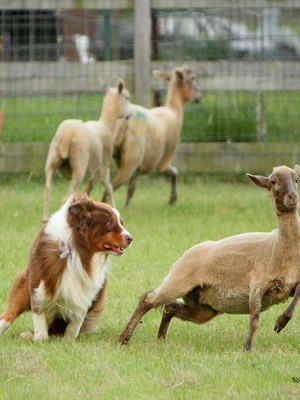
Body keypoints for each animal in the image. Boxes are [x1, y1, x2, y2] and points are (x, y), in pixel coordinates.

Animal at [0, 194, 132, 340]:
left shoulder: (89, 289)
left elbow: (76, 319)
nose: (130, 238)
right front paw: (40, 338)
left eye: (121, 223)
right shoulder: (37, 278)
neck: (77, 250)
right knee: (10, 312)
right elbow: (38, 309)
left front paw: (68, 340)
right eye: (109, 223)